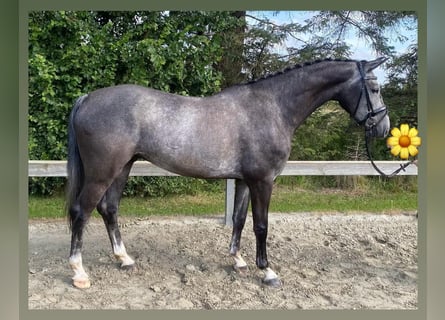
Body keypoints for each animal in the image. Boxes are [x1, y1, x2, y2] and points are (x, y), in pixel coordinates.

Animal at [65, 57, 388, 290]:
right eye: (374, 89)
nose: (383, 129)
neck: (273, 108)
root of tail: (87, 98)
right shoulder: (263, 181)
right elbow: (261, 226)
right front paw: (267, 271)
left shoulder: (245, 180)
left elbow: (240, 219)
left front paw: (238, 260)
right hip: (102, 172)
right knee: (83, 211)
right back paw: (79, 273)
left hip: (123, 167)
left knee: (109, 208)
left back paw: (124, 259)